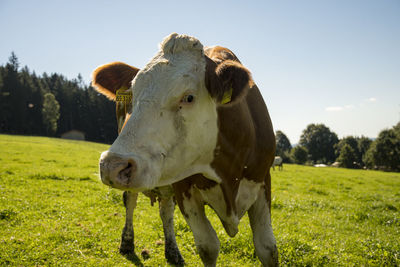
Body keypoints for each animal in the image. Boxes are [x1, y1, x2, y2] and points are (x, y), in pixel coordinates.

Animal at [92, 34, 278, 267]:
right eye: (132, 95)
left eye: (189, 97)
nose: (111, 165)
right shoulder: (184, 189)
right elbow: (208, 246)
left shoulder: (263, 180)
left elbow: (267, 248)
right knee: (131, 200)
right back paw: (127, 242)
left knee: (165, 209)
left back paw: (172, 251)